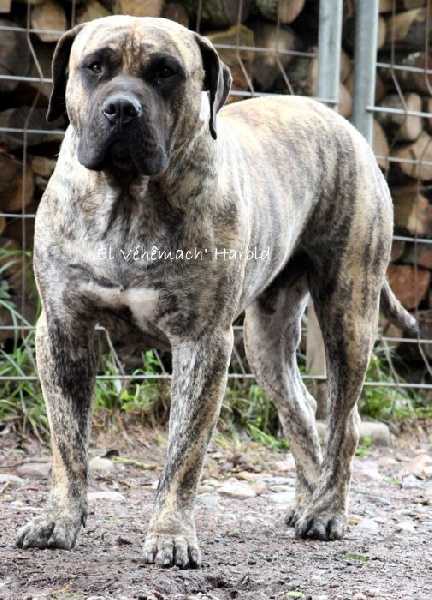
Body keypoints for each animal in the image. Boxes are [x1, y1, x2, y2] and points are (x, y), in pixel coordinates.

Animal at [16, 15, 416, 568]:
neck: (127, 199)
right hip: (265, 341)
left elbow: (184, 452)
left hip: (349, 312)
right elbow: (66, 441)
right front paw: (59, 519)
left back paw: (325, 511)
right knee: (300, 409)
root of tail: (336, 118)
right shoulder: (61, 329)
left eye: (166, 72)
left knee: (344, 421)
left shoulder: (202, 342)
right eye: (94, 66)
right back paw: (306, 500)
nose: (122, 108)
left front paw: (170, 534)